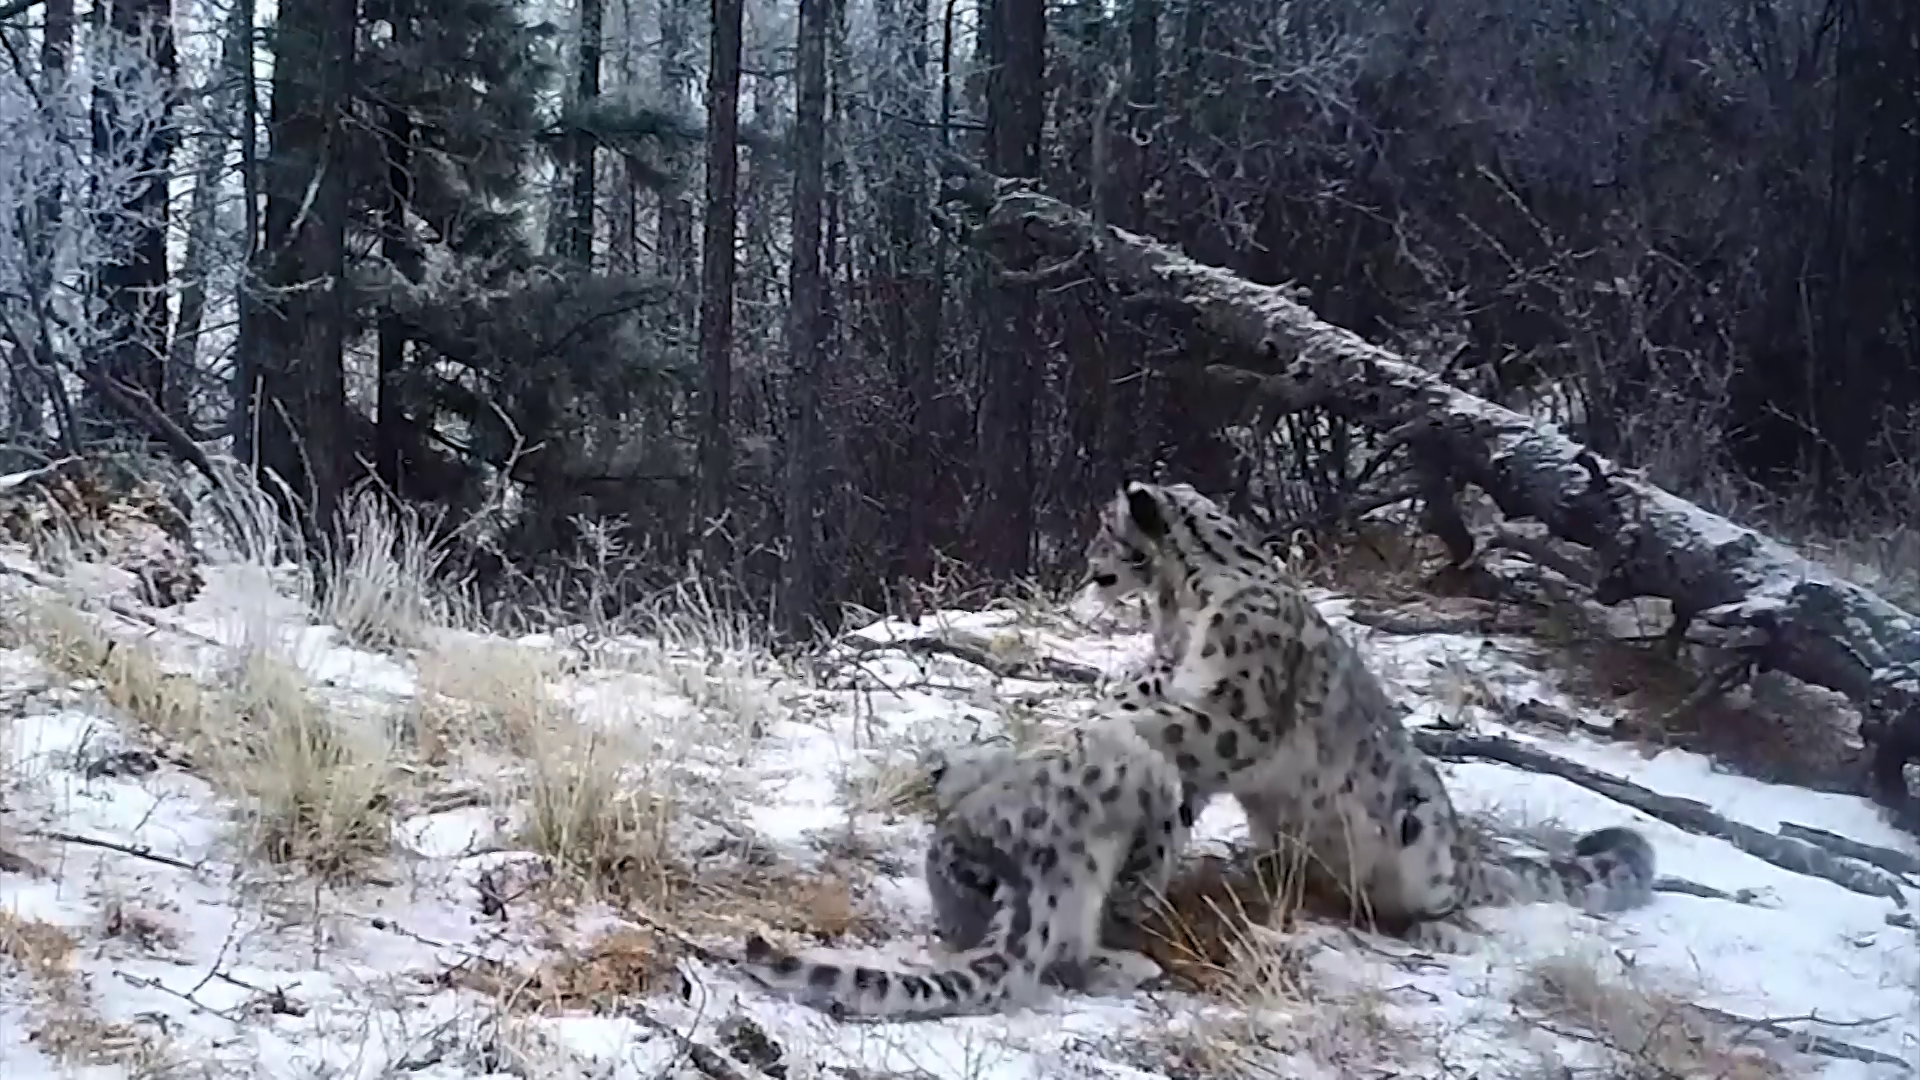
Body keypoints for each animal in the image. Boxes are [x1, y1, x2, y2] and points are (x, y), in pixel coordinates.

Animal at [1090, 474, 1658, 930]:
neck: (1180, 612)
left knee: (1460, 897)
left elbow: (1159, 728)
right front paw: (1139, 883)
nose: (1089, 564)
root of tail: (1467, 852)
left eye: (1106, 527)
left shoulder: (1235, 715)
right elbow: (1175, 798)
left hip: (1422, 835)